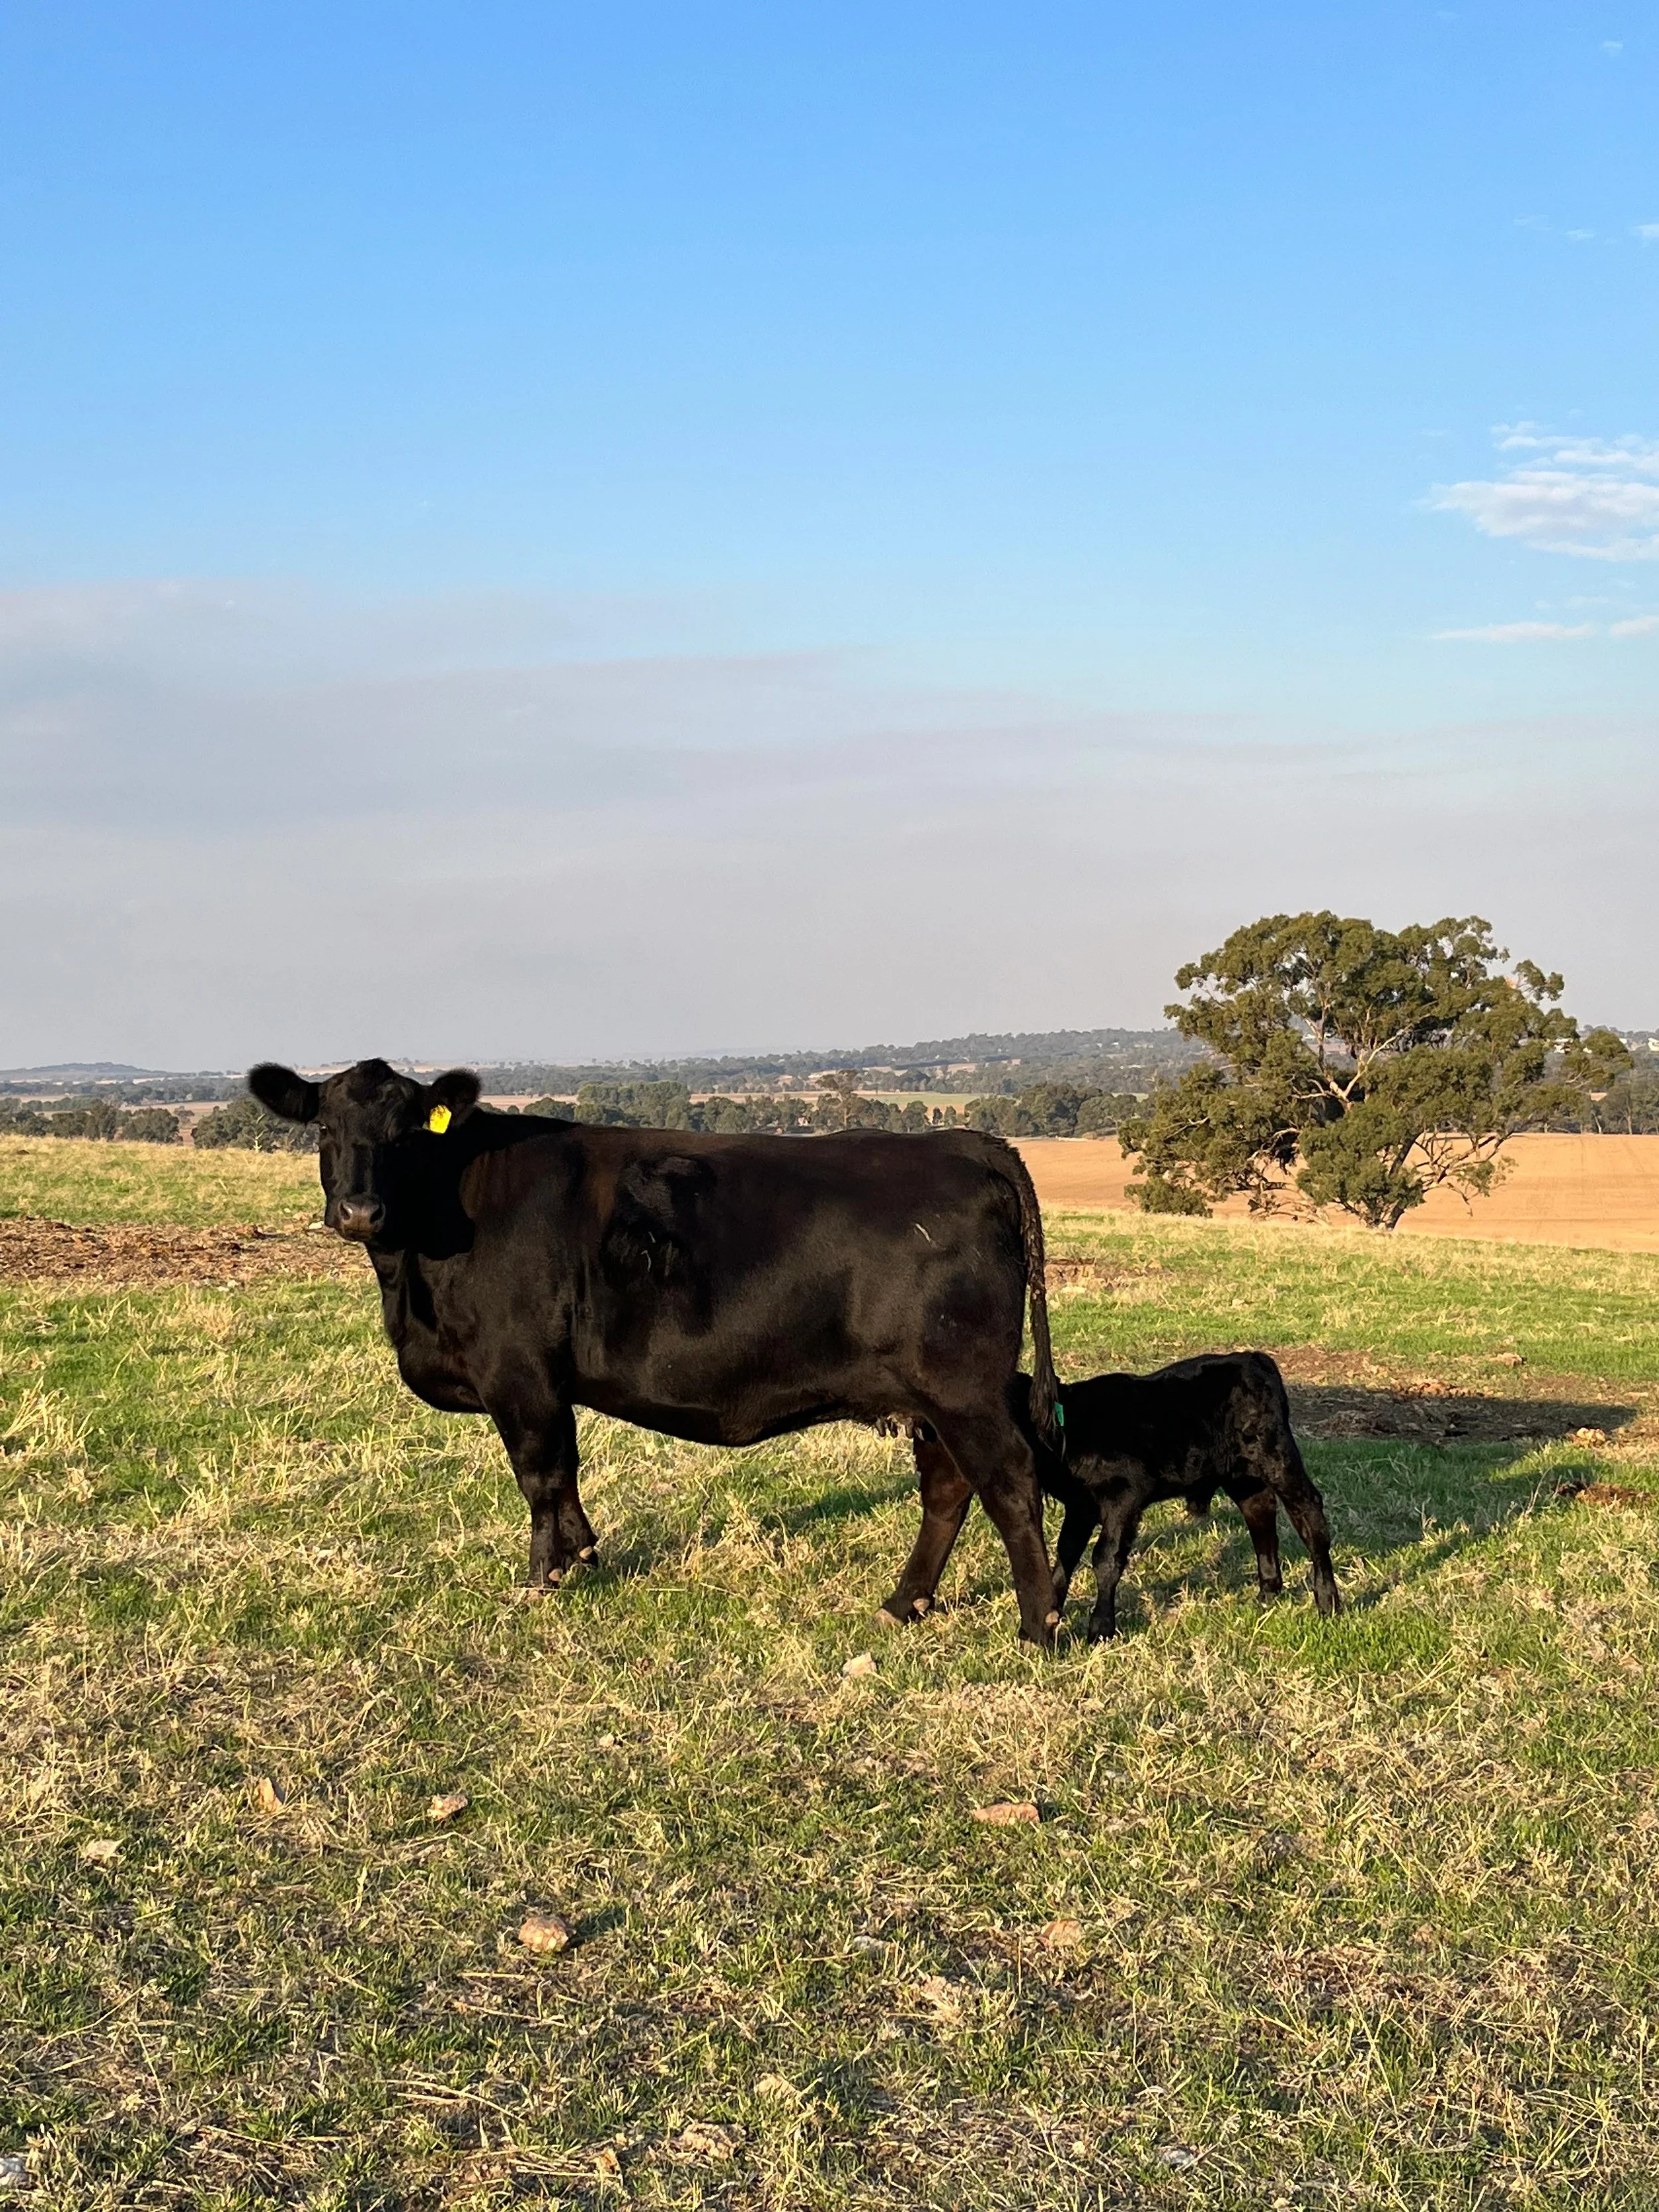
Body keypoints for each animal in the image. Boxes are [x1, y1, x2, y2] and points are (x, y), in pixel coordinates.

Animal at [247, 1058, 1066, 1643]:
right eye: (324, 1129)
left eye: (409, 1132)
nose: (359, 1210)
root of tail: (965, 1142)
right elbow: (565, 1479)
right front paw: (583, 1558)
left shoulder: (519, 1373)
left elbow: (541, 1476)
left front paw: (541, 1581)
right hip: (928, 1398)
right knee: (948, 1489)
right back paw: (903, 1604)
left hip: (961, 1387)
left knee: (1009, 1482)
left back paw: (1038, 1627)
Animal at [883, 1351, 1340, 1640]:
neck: (1066, 1430)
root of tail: (1254, 1359)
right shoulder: (1081, 1507)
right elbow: (1065, 1557)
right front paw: (1053, 1610)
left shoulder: (1124, 1497)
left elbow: (1105, 1559)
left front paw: (1100, 1627)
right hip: (1242, 1475)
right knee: (1260, 1513)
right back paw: (1268, 1592)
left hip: (1278, 1456)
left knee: (1308, 1514)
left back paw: (1328, 1600)